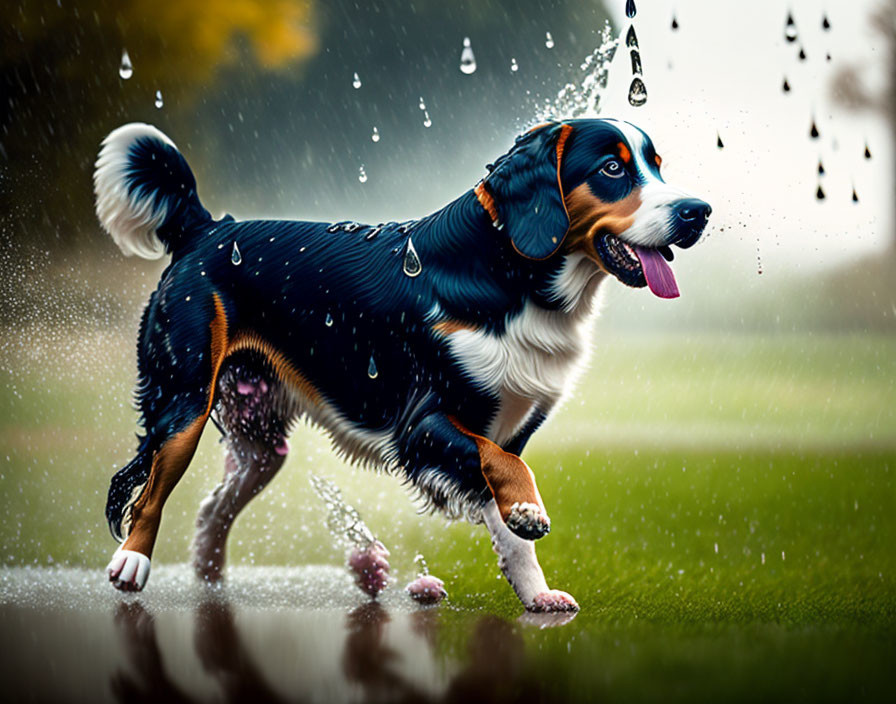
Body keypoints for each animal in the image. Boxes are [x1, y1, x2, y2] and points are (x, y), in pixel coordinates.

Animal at [96, 117, 712, 612]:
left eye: (657, 167)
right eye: (613, 168)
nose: (699, 212)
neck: (511, 278)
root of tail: (209, 227)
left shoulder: (508, 426)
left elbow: (509, 513)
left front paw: (536, 593)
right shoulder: (423, 424)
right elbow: (508, 470)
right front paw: (529, 512)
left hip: (261, 440)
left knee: (211, 508)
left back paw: (209, 580)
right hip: (183, 402)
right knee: (149, 489)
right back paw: (131, 564)